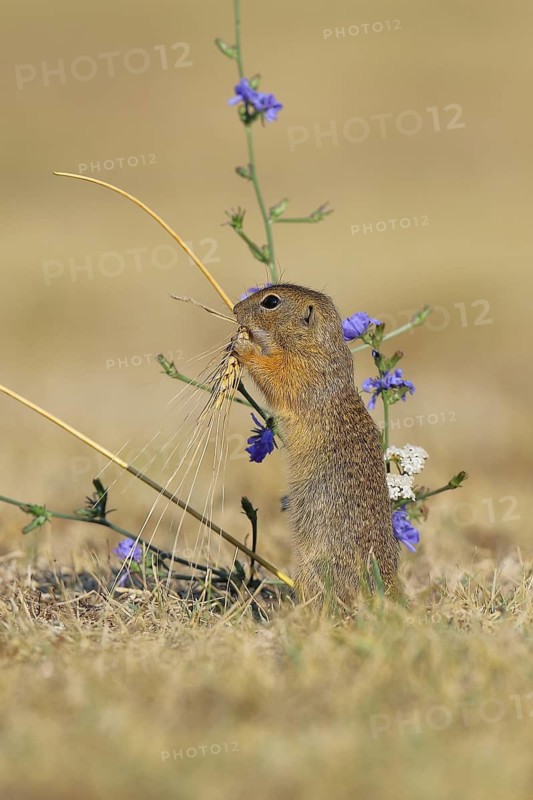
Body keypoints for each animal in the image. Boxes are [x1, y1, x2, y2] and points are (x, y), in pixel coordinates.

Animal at [231, 283, 399, 610]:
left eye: (271, 302)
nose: (234, 309)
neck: (316, 345)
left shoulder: (301, 373)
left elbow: (275, 375)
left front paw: (243, 346)